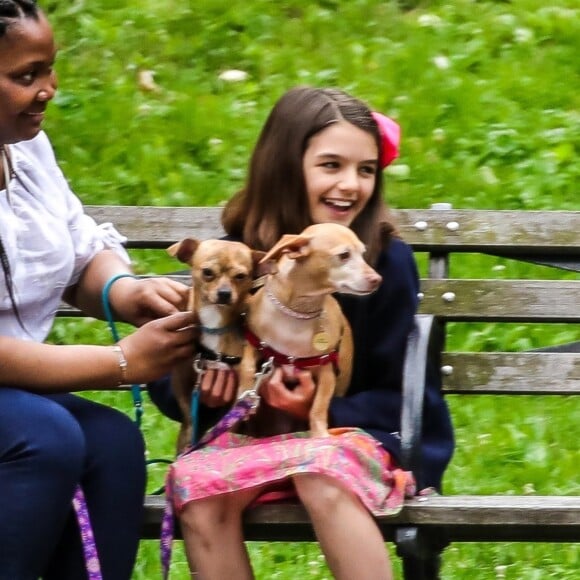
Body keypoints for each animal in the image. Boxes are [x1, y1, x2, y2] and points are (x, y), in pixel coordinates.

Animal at [167, 238, 260, 450]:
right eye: (207, 272)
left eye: (241, 276)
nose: (224, 293)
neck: (214, 325)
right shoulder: (181, 380)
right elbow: (188, 414)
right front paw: (191, 436)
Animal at [238, 224, 382, 438]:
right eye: (344, 255)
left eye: (363, 254)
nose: (377, 279)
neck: (297, 314)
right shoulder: (255, 344)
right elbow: (247, 366)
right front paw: (244, 392)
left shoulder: (327, 372)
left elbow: (318, 407)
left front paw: (320, 434)